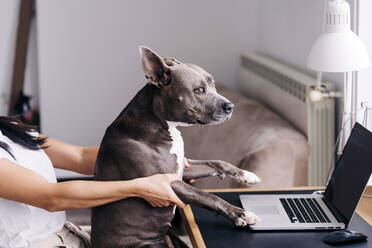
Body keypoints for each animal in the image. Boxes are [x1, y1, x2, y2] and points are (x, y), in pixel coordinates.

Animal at [90, 47, 260, 248]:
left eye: (213, 84)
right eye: (199, 90)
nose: (231, 106)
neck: (162, 123)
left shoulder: (183, 167)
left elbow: (217, 162)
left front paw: (246, 175)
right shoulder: (165, 183)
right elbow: (209, 196)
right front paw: (241, 214)